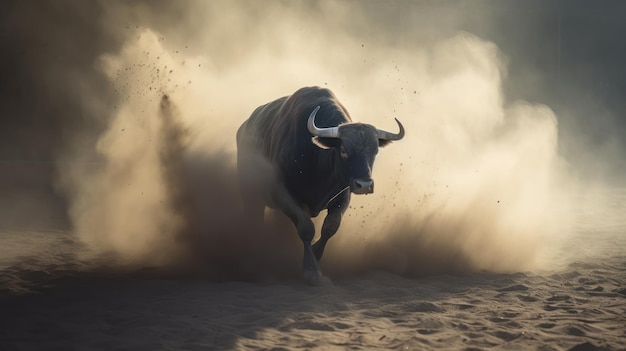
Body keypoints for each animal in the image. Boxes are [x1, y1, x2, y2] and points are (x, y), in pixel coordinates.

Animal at [235, 86, 404, 286]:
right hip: (249, 193)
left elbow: (330, 226)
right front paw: (311, 269)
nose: (364, 185)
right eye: (344, 150)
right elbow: (306, 228)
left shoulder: (343, 196)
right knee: (254, 217)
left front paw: (316, 254)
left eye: (375, 151)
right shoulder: (282, 193)